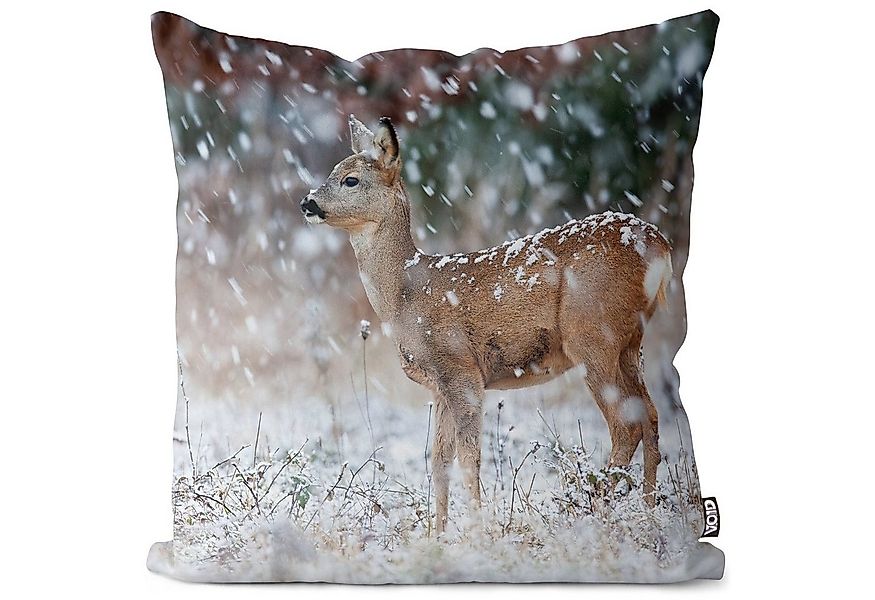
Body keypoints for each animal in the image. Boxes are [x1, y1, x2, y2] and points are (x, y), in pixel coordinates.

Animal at [300, 115, 673, 534]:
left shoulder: (460, 367)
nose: (307, 202)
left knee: (625, 425)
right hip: (630, 342)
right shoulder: (438, 386)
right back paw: (647, 510)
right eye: (333, 172)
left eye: (351, 179)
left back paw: (597, 511)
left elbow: (468, 459)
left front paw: (479, 531)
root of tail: (659, 246)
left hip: (592, 335)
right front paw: (438, 533)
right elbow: (438, 461)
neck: (405, 295)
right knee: (651, 414)